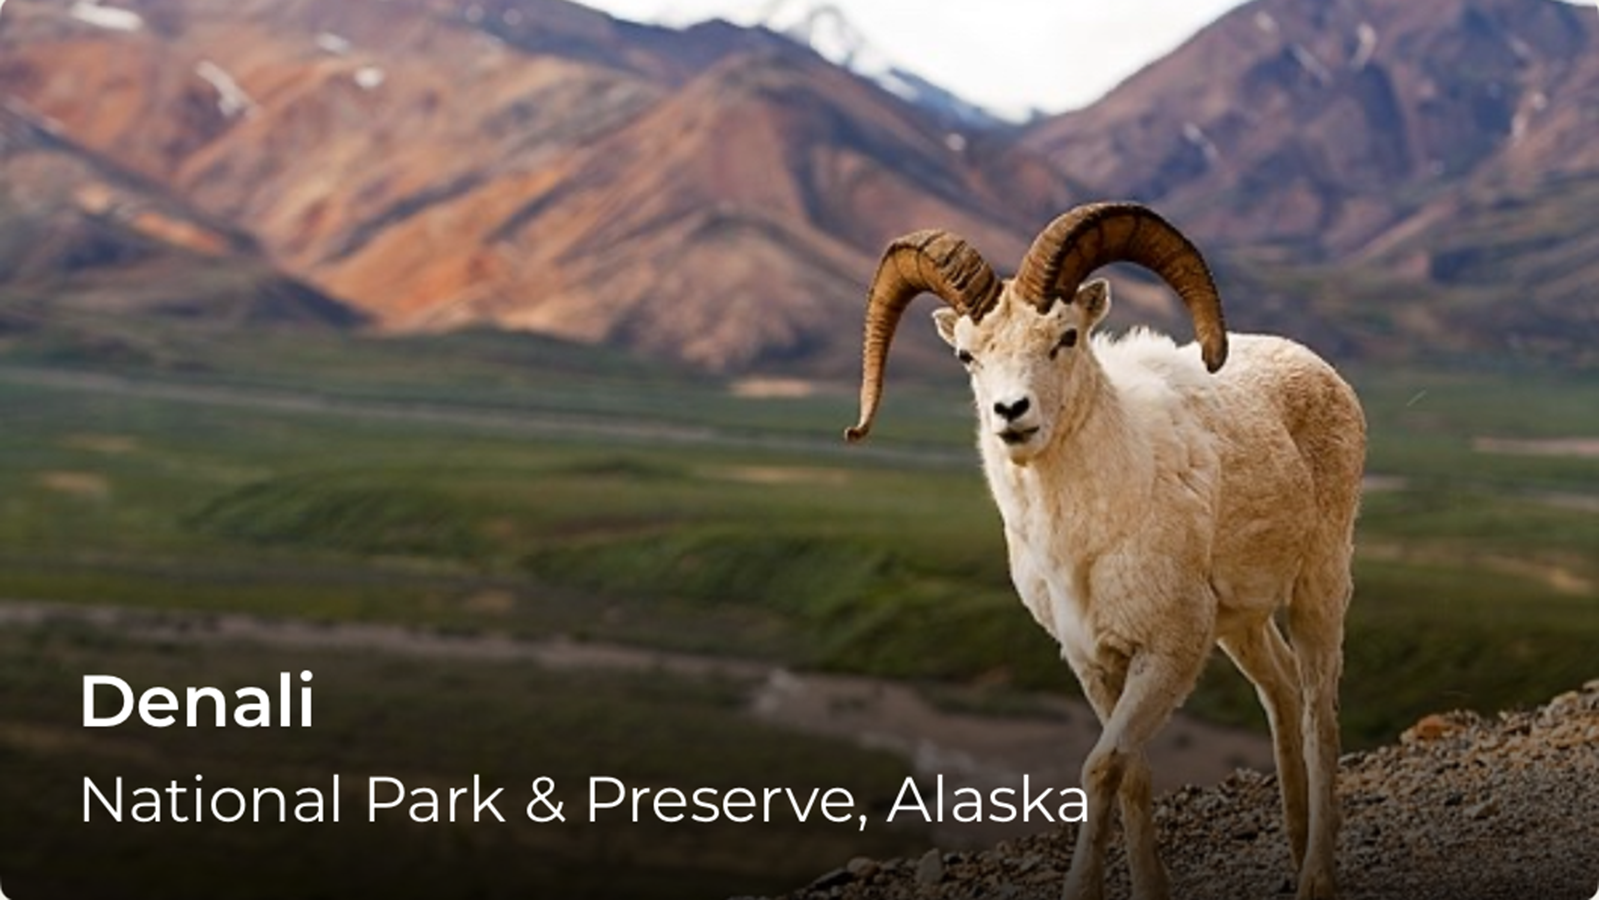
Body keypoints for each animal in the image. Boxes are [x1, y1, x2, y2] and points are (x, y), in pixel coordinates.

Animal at [843, 202, 1364, 900]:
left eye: (1065, 337)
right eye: (966, 355)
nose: (1012, 412)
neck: (1082, 545)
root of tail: (1320, 372)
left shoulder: (1168, 652)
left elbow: (1102, 767)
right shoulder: (1093, 661)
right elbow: (1133, 773)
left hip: (1318, 589)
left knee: (1317, 711)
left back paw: (1315, 876)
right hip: (1241, 625)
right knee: (1279, 692)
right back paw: (1295, 843)